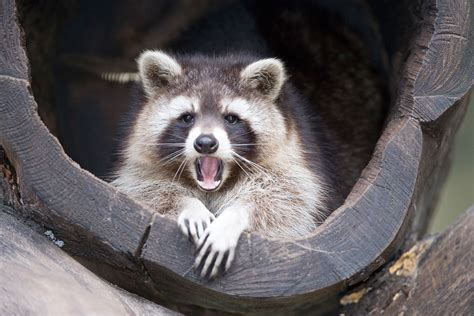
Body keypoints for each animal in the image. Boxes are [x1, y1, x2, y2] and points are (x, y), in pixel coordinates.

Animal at [113, 50, 342, 278]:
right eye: (187, 117)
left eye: (231, 118)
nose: (206, 143)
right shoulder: (142, 166)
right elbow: (147, 191)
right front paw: (189, 205)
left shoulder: (292, 159)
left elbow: (286, 201)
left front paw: (232, 217)